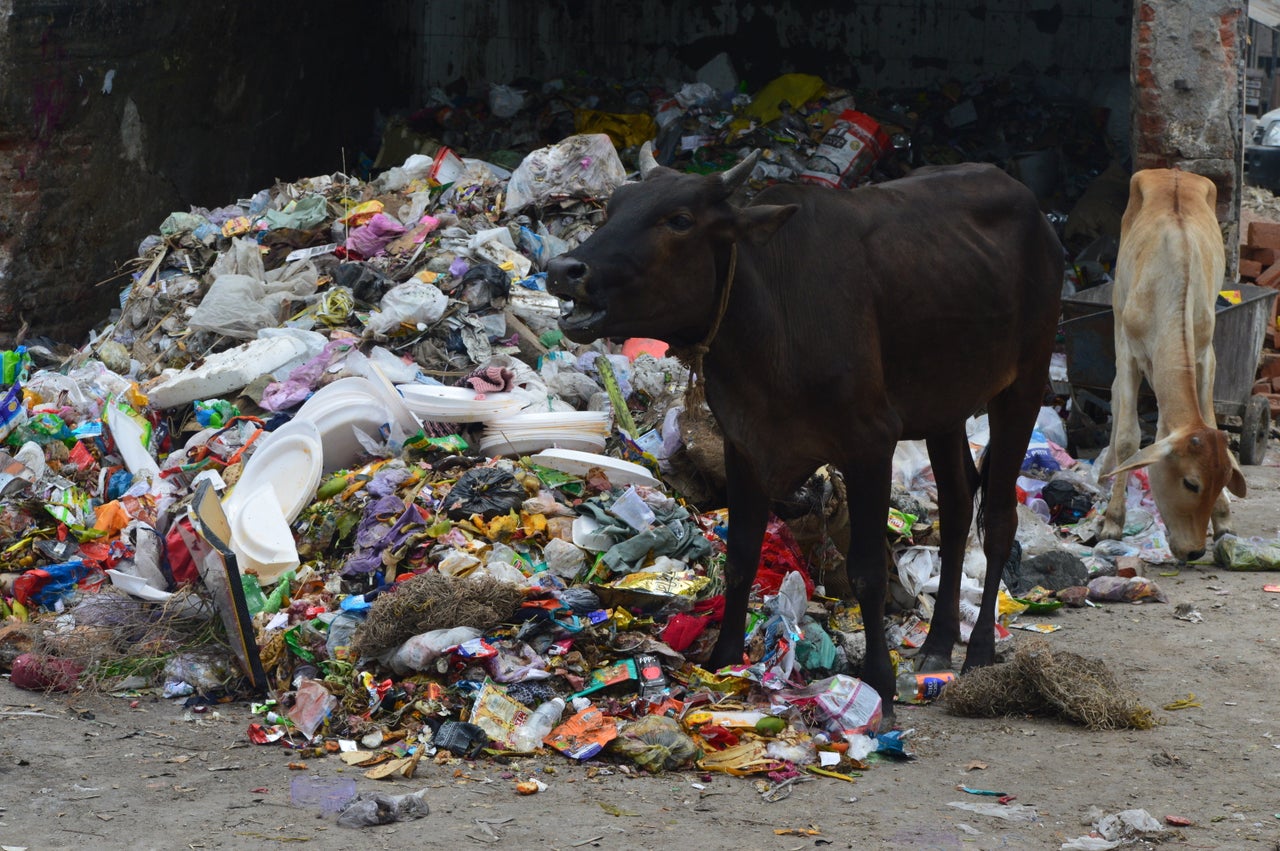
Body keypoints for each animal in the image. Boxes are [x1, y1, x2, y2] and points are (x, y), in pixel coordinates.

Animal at [547, 145, 1059, 716]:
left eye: (679, 219)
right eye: (615, 206)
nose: (564, 269)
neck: (768, 317)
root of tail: (1032, 208)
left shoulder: (870, 443)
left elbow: (867, 570)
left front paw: (879, 681)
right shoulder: (744, 443)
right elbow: (741, 555)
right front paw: (725, 658)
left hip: (1025, 382)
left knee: (998, 519)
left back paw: (979, 654)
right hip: (945, 403)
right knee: (955, 508)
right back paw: (937, 645)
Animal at [1095, 168, 1244, 560]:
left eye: (1223, 480)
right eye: (1190, 483)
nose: (1194, 552)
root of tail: (1172, 170)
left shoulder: (1206, 354)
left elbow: (1207, 419)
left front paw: (1223, 519)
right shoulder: (1129, 353)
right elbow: (1129, 438)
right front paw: (1112, 522)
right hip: (1117, 310)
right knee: (1114, 398)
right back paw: (1105, 473)